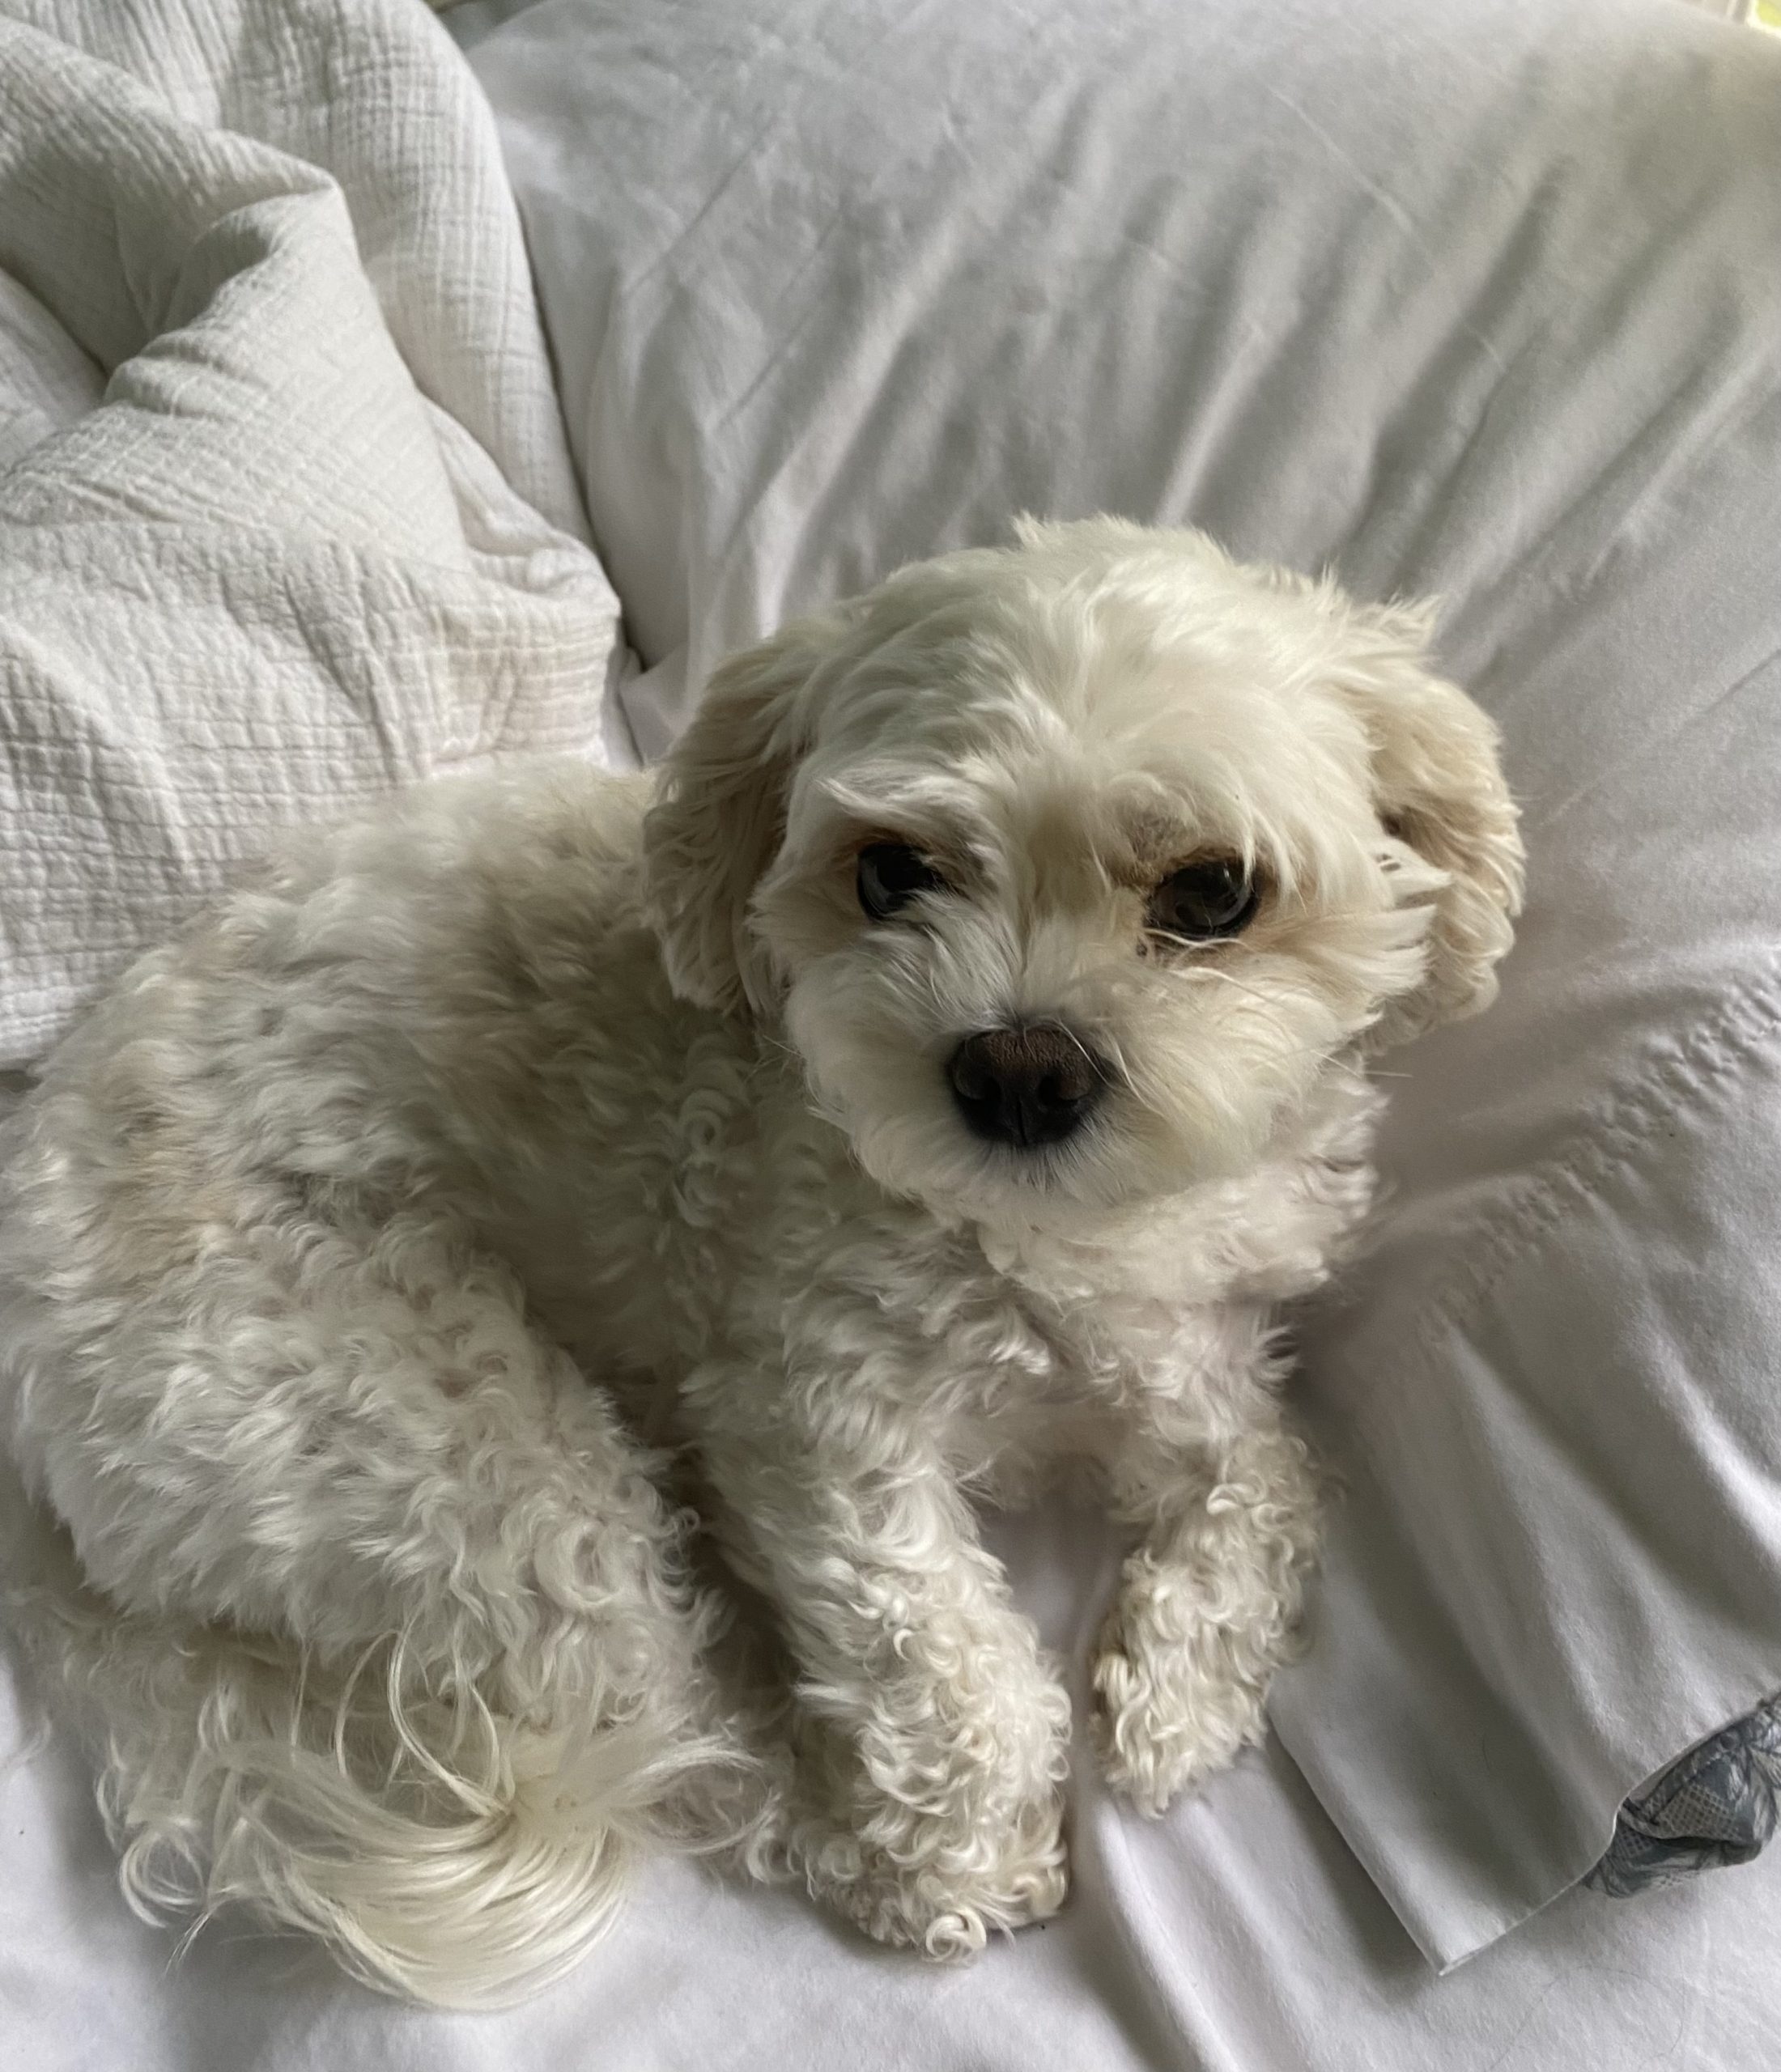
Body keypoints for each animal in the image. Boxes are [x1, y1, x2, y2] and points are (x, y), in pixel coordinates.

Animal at [0, 522, 1517, 2006]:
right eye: (890, 872)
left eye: (1213, 893)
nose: (1019, 1069)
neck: (1050, 1234)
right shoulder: (814, 1417)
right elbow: (945, 1664)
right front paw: (967, 1853)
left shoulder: (1194, 1357)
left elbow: (1271, 1477)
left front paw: (1183, 1696)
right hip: (445, 1447)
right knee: (678, 1745)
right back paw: (857, 1848)